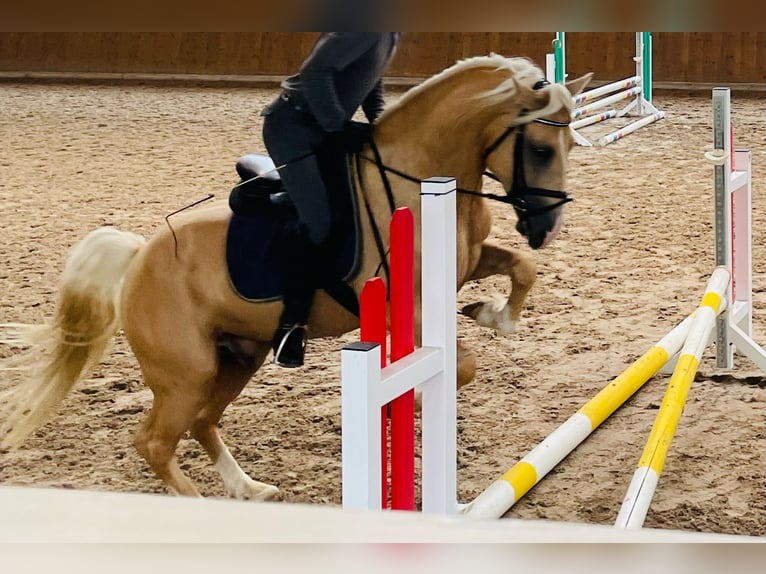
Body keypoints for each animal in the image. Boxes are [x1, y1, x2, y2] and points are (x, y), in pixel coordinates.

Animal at [0, 55, 591, 500]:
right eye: (541, 149)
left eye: (570, 147)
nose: (546, 226)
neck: (423, 176)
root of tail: (138, 255)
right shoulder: (411, 306)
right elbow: (460, 364)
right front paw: (423, 398)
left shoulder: (467, 264)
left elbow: (521, 267)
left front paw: (494, 315)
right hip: (186, 375)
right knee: (155, 442)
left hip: (239, 355)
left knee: (201, 423)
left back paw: (249, 488)